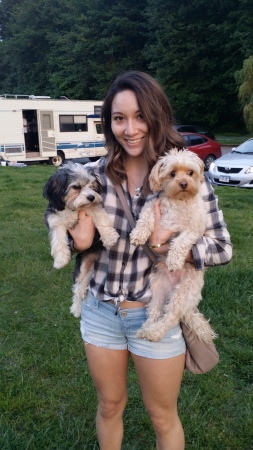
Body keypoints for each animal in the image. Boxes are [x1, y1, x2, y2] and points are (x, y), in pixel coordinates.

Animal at [43, 162, 118, 316]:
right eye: (76, 187)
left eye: (92, 185)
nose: (91, 197)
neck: (73, 208)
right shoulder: (55, 221)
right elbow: (58, 240)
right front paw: (60, 260)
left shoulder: (94, 208)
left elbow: (101, 221)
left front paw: (110, 238)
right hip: (82, 270)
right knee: (78, 289)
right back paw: (76, 309)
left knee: (80, 288)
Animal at [130, 149, 215, 342]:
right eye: (172, 173)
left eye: (190, 172)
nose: (184, 183)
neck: (179, 201)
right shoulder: (153, 205)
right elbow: (145, 217)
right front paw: (138, 234)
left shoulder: (194, 229)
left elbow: (181, 241)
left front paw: (174, 261)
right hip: (157, 289)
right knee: (155, 312)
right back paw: (146, 329)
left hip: (182, 294)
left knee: (170, 317)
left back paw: (154, 332)